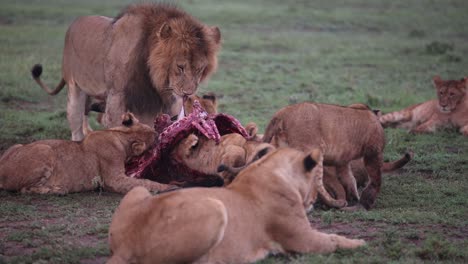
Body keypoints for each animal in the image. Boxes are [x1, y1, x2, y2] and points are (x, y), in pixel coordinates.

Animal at [31, 3, 221, 141]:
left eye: (199, 68)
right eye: (180, 67)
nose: (188, 92)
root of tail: (74, 23)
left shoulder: (158, 102)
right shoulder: (118, 98)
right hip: (74, 85)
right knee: (76, 121)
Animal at [109, 147, 366, 262]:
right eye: (317, 177)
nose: (313, 200)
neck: (269, 168)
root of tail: (125, 246)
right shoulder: (303, 239)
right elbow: (333, 240)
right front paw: (360, 243)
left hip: (138, 190)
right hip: (215, 208)